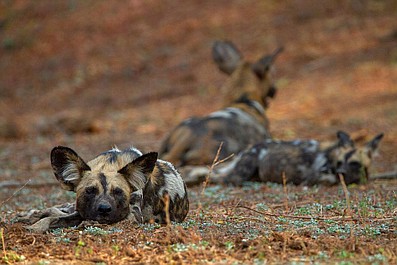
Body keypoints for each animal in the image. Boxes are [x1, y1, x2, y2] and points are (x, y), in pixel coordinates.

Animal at [19, 144, 189, 231]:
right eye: (90, 191)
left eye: (118, 192)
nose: (104, 210)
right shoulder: (82, 212)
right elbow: (53, 218)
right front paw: (36, 226)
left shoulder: (133, 216)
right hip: (74, 207)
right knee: (59, 209)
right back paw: (30, 215)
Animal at [181, 130, 382, 186]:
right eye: (340, 162)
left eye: (355, 163)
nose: (341, 172)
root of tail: (247, 149)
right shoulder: (315, 177)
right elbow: (328, 179)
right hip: (242, 171)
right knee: (221, 178)